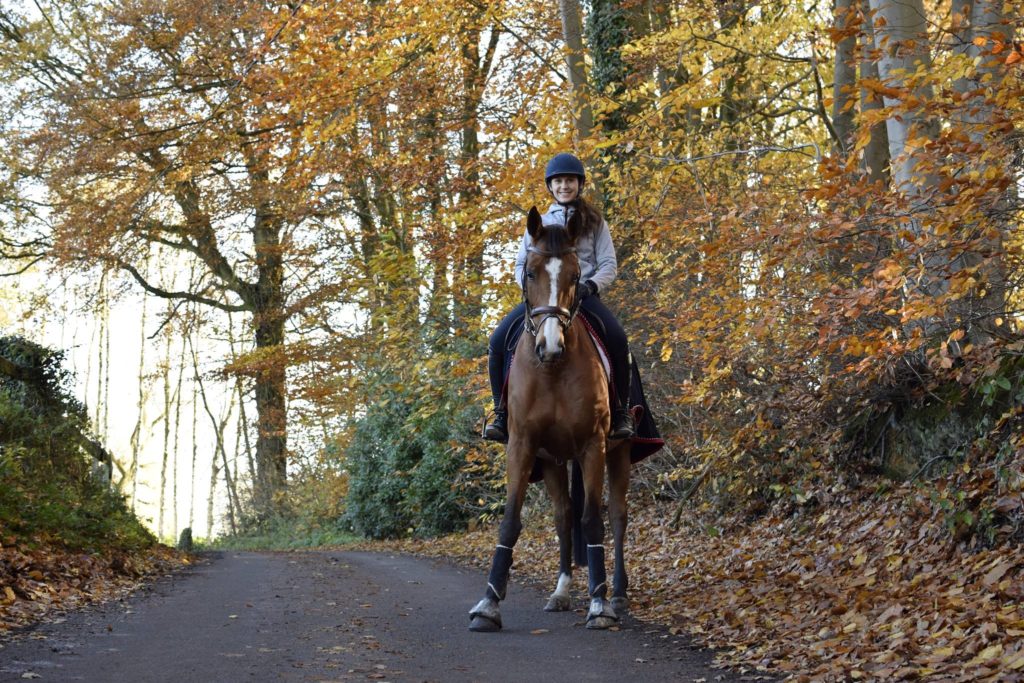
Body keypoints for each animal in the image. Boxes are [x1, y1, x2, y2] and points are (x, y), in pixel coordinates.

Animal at [466, 205, 626, 634]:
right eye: (532, 272)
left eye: (575, 276)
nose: (549, 346)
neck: (553, 370)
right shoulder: (523, 444)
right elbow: (511, 520)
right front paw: (488, 604)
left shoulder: (592, 445)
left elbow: (593, 520)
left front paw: (599, 605)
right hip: (552, 461)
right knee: (562, 516)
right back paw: (561, 592)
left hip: (619, 452)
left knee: (618, 516)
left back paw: (618, 594)